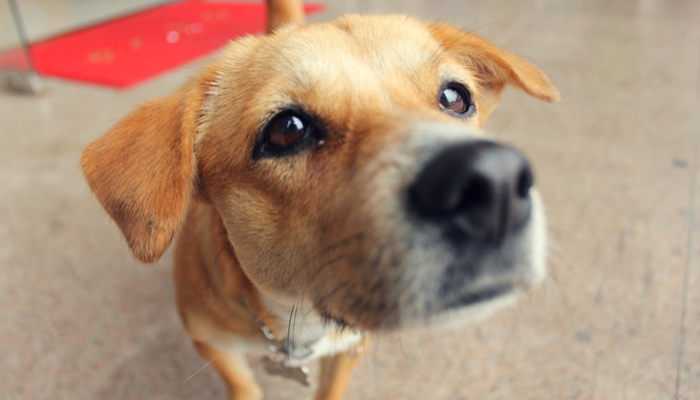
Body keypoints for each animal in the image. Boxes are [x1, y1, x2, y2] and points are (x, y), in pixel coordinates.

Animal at [80, 1, 556, 398]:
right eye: (287, 129)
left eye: (456, 97)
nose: (495, 183)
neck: (295, 315)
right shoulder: (210, 341)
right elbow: (242, 385)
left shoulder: (350, 346)